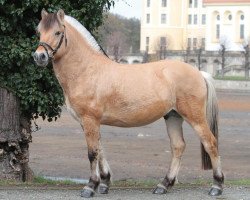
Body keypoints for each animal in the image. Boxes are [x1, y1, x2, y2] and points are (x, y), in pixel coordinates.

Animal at [33, 9, 225, 198]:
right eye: (39, 32)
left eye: (58, 32)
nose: (39, 56)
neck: (87, 70)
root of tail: (199, 73)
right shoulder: (88, 122)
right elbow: (100, 150)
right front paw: (104, 182)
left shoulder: (89, 120)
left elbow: (92, 153)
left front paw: (91, 186)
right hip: (173, 116)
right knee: (178, 146)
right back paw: (164, 185)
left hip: (195, 118)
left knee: (211, 143)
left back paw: (217, 186)